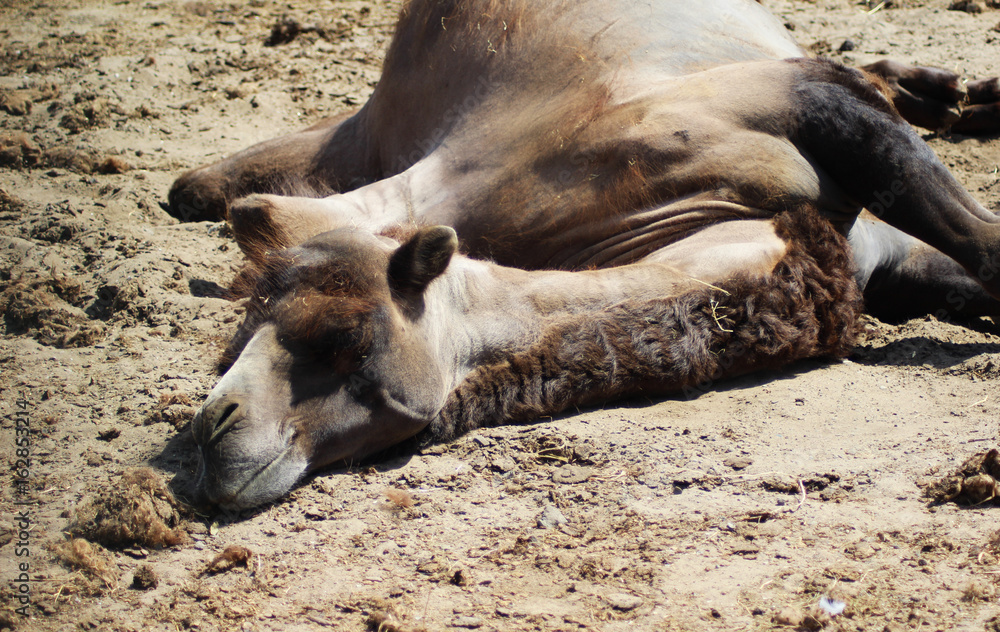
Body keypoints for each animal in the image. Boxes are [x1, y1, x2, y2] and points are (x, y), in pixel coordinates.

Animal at [169, 0, 1000, 509]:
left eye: (342, 335)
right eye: (232, 348)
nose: (211, 433)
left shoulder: (809, 106)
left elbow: (982, 246)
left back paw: (951, 92)